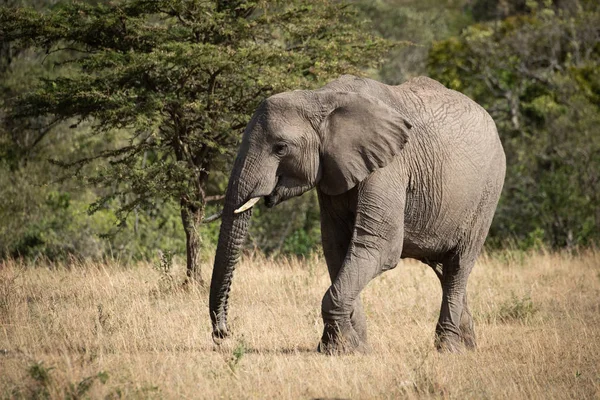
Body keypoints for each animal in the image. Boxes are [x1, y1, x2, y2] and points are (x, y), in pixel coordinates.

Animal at [209, 75, 504, 354]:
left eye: (280, 148)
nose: (222, 334)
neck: (319, 98)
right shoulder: (332, 169)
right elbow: (336, 247)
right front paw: (350, 347)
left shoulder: (389, 167)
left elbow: (379, 247)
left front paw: (342, 347)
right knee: (444, 270)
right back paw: (468, 344)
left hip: (488, 191)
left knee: (458, 265)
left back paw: (450, 348)